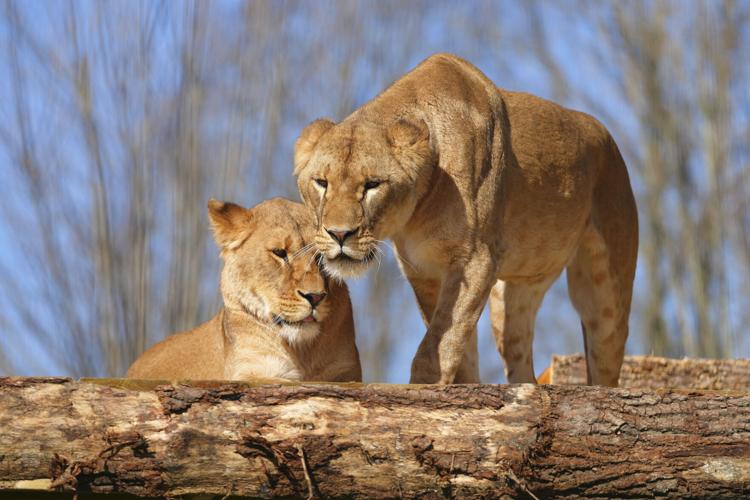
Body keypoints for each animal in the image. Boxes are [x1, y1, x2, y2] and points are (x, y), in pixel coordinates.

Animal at [127, 198, 362, 382]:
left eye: (322, 257)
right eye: (280, 253)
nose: (315, 296)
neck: (303, 351)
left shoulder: (346, 372)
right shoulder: (249, 372)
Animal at [294, 53, 637, 386]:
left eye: (372, 185)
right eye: (321, 183)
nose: (339, 234)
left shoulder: (475, 260)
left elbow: (439, 343)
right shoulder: (424, 272)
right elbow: (457, 346)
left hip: (606, 294)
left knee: (607, 368)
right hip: (513, 296)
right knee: (522, 363)